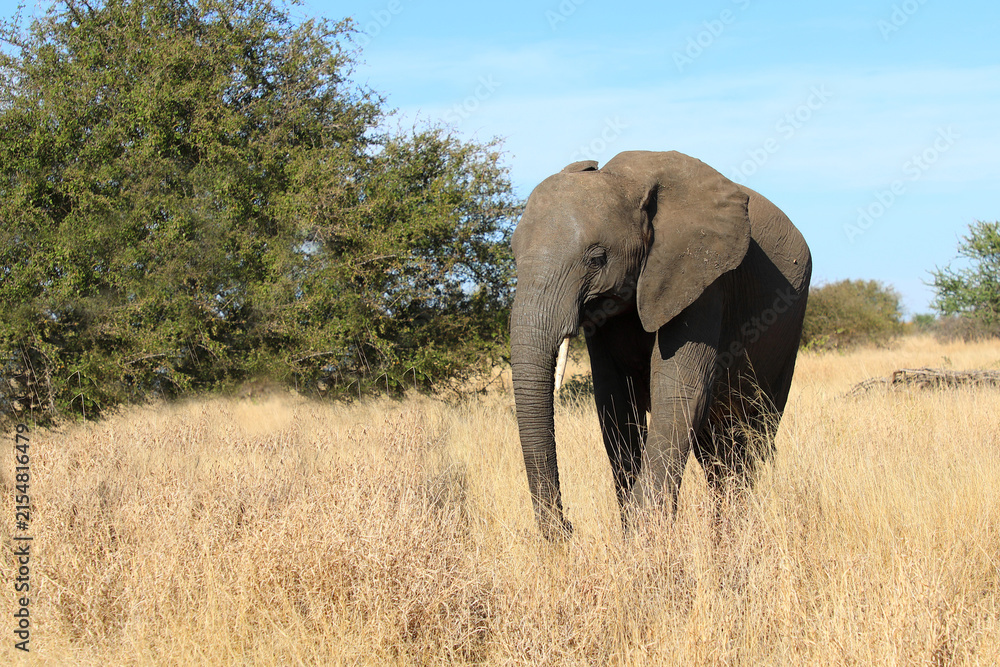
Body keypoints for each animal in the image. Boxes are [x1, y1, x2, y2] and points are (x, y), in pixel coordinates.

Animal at [510, 150, 811, 539]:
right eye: (514, 256)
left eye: (596, 259)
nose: (567, 528)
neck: (625, 182)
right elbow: (614, 402)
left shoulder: (702, 275)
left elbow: (678, 391)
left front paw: (646, 536)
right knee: (718, 452)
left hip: (788, 327)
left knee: (752, 440)